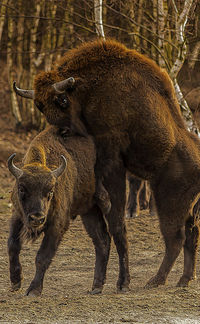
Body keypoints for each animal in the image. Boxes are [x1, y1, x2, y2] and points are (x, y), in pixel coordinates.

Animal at [7, 126, 111, 296]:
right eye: (21, 189)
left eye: (50, 191)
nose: (37, 218)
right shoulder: (18, 216)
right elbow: (12, 245)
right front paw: (15, 282)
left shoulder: (57, 226)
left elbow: (42, 257)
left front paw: (34, 290)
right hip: (89, 211)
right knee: (102, 240)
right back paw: (97, 286)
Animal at [14, 39, 200, 290]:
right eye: (40, 106)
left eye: (62, 100)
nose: (62, 131)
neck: (91, 87)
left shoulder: (111, 150)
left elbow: (114, 209)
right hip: (188, 209)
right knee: (191, 235)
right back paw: (183, 280)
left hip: (169, 204)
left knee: (176, 238)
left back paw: (156, 280)